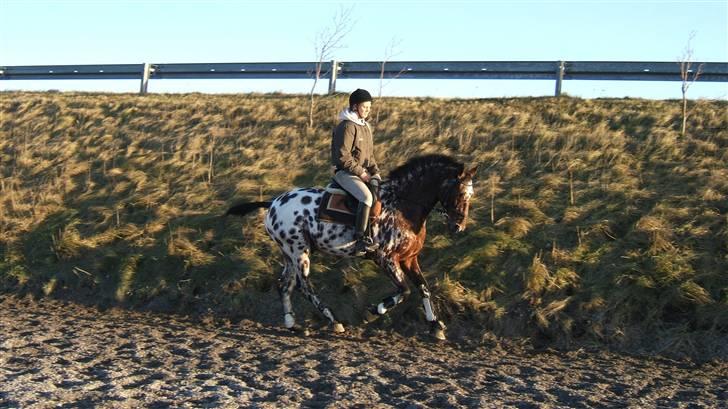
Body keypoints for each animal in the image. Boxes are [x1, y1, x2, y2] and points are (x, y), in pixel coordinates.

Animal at [228, 153, 478, 338]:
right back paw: (334, 321)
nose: (458, 227)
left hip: (289, 253)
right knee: (304, 286)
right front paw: (374, 312)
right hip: (299, 251)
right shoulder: (385, 258)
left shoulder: (409, 258)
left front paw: (435, 325)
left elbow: (423, 287)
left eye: (471, 194)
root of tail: (273, 203)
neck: (402, 205)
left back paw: (293, 324)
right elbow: (404, 290)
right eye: (459, 192)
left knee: (284, 285)